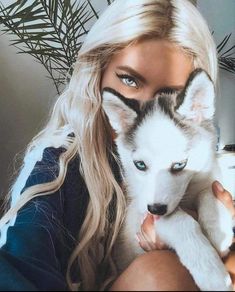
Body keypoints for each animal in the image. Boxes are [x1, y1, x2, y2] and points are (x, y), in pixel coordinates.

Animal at [102, 69, 234, 292]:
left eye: (180, 165)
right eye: (140, 165)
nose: (156, 209)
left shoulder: (208, 179)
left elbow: (208, 191)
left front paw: (218, 230)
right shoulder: (141, 211)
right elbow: (180, 221)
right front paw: (210, 270)